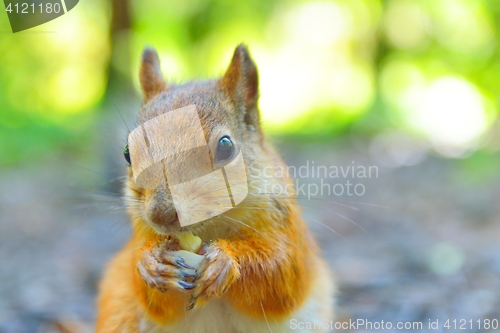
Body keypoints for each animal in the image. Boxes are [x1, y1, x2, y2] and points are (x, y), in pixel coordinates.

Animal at [95, 44, 334, 332]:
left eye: (226, 146)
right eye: (128, 153)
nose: (161, 215)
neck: (210, 228)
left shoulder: (286, 227)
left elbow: (282, 274)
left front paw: (225, 262)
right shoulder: (141, 231)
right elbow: (155, 301)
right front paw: (151, 263)